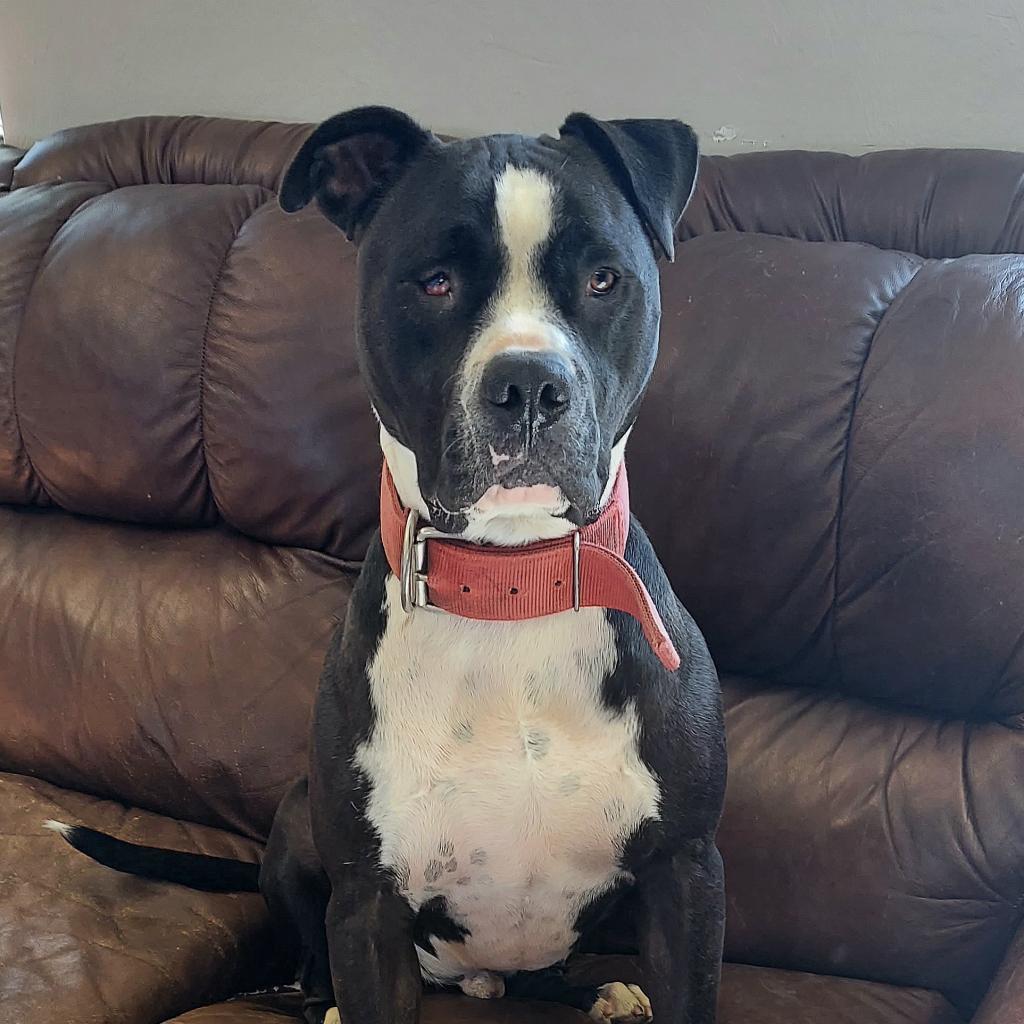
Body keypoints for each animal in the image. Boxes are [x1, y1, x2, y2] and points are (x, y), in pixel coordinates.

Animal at [49, 105, 729, 1024]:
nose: (529, 386)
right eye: (434, 281)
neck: (510, 587)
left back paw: (596, 991)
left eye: (603, 280)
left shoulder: (686, 876)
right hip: (300, 821)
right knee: (308, 960)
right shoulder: (367, 901)